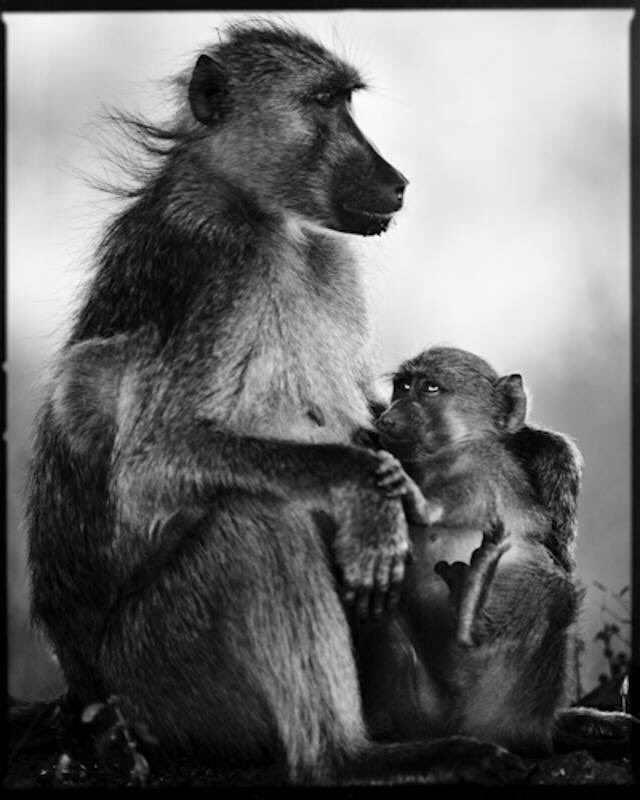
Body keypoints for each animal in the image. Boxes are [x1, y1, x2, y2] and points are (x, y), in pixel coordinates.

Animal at [26, 22, 533, 785]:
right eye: (323, 101)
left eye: (348, 100)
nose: (396, 181)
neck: (260, 213)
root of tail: (84, 693)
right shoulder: (222, 267)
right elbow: (154, 461)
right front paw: (371, 499)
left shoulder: (327, 260)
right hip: (158, 682)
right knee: (257, 519)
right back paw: (347, 757)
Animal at [354, 346, 583, 756]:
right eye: (403, 386)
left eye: (430, 387)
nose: (387, 418)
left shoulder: (484, 473)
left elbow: (463, 505)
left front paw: (419, 502)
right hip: (425, 708)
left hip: (504, 696)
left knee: (550, 588)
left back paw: (470, 616)